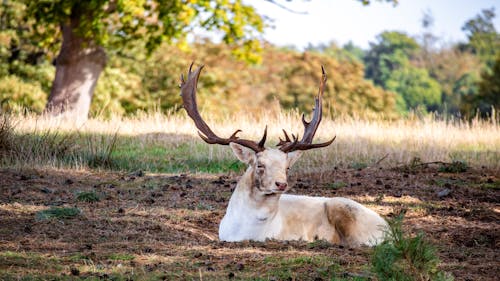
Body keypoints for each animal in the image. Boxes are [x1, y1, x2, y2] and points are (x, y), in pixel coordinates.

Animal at [181, 63, 390, 245]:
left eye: (287, 167)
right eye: (260, 165)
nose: (281, 184)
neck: (244, 231)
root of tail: (388, 229)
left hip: (346, 210)